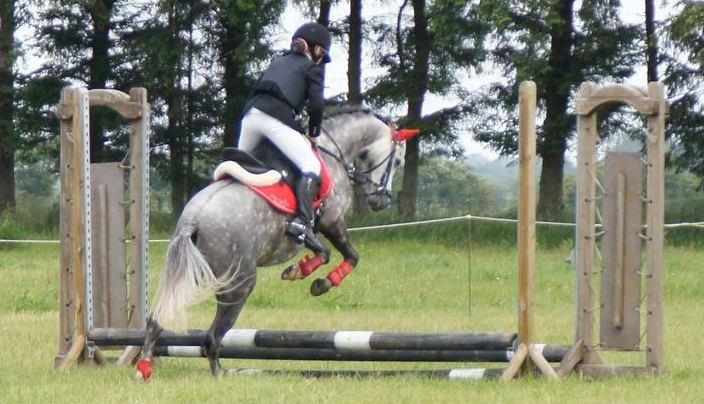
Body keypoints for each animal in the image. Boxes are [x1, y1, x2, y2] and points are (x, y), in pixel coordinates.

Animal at [137, 108, 419, 379]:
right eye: (397, 161)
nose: (381, 201)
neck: (333, 152)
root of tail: (193, 219)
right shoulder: (331, 220)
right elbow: (347, 255)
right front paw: (319, 281)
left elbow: (326, 252)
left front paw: (301, 271)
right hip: (239, 283)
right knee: (212, 337)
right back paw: (219, 375)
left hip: (193, 272)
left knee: (159, 317)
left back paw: (144, 368)